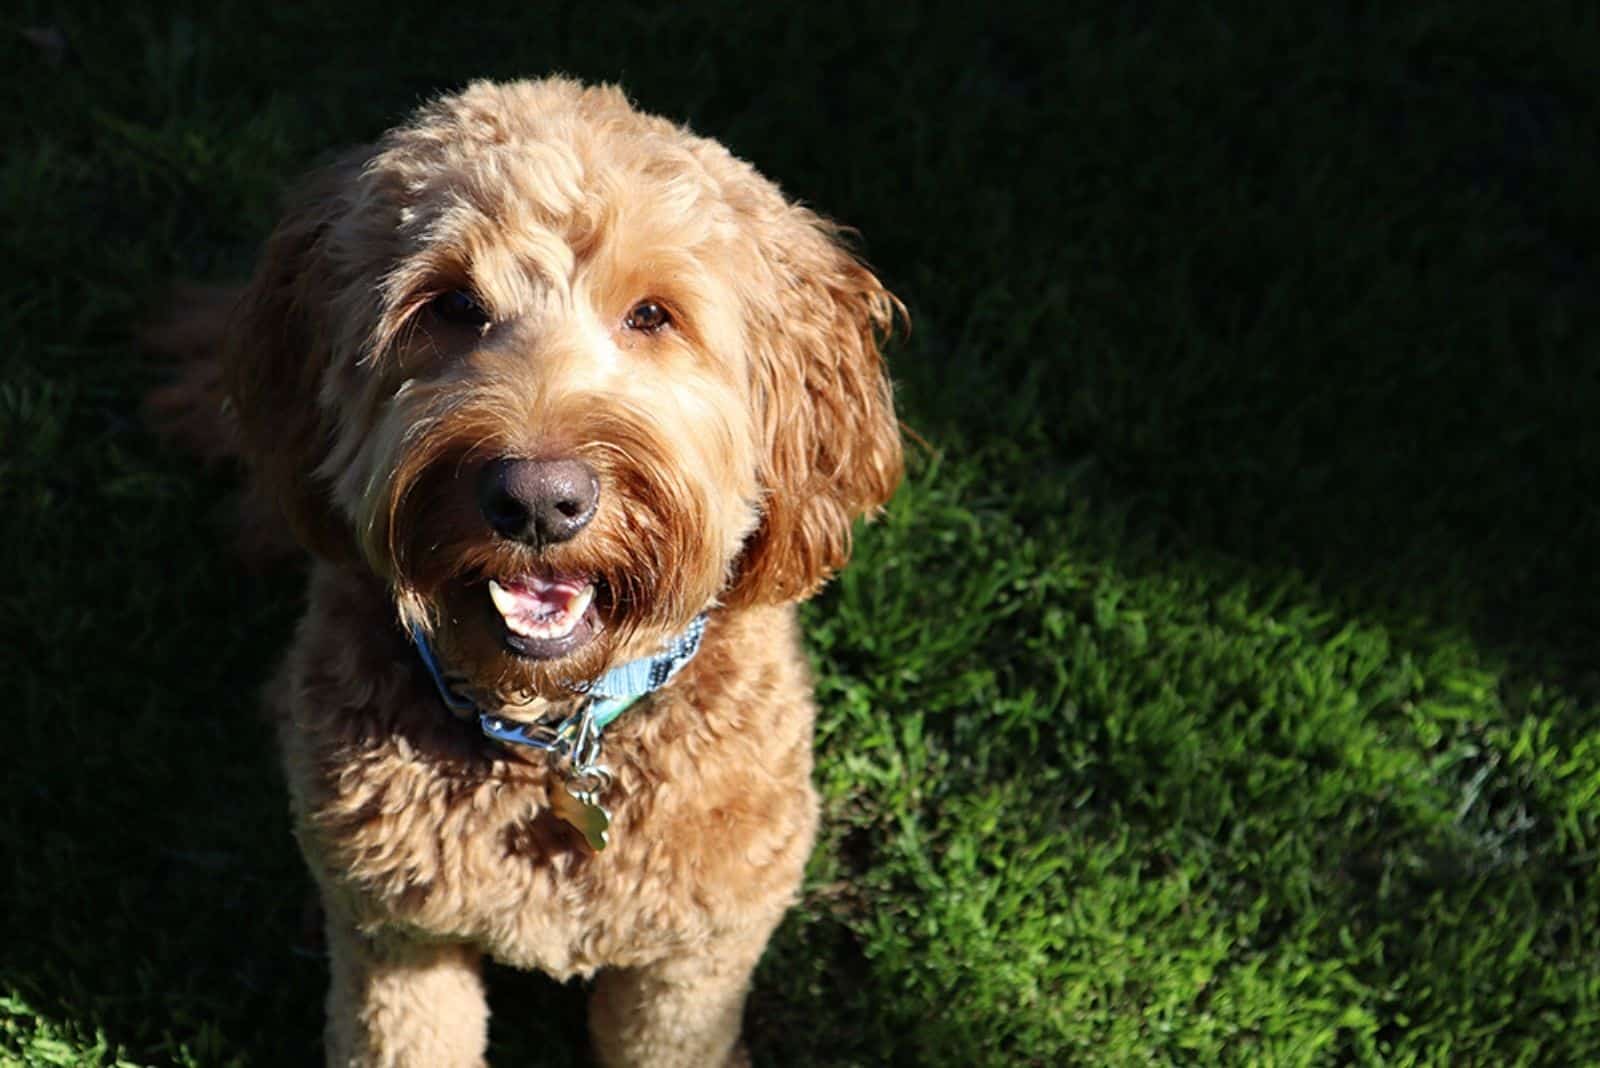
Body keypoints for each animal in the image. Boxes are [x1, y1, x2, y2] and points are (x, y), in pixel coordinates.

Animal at [152, 77, 902, 1068]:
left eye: (652, 315)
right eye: (449, 305)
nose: (539, 501)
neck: (553, 738)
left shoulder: (692, 968)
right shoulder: (400, 943)